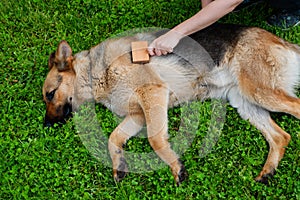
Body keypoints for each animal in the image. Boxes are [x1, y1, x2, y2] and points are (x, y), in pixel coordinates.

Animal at [42, 23, 300, 186]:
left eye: (50, 94)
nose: (46, 125)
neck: (97, 72)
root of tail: (282, 41)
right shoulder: (137, 115)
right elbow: (113, 138)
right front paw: (118, 164)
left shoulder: (152, 93)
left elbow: (155, 140)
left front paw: (176, 167)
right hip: (246, 104)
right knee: (281, 137)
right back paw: (268, 172)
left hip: (259, 92)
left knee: (295, 109)